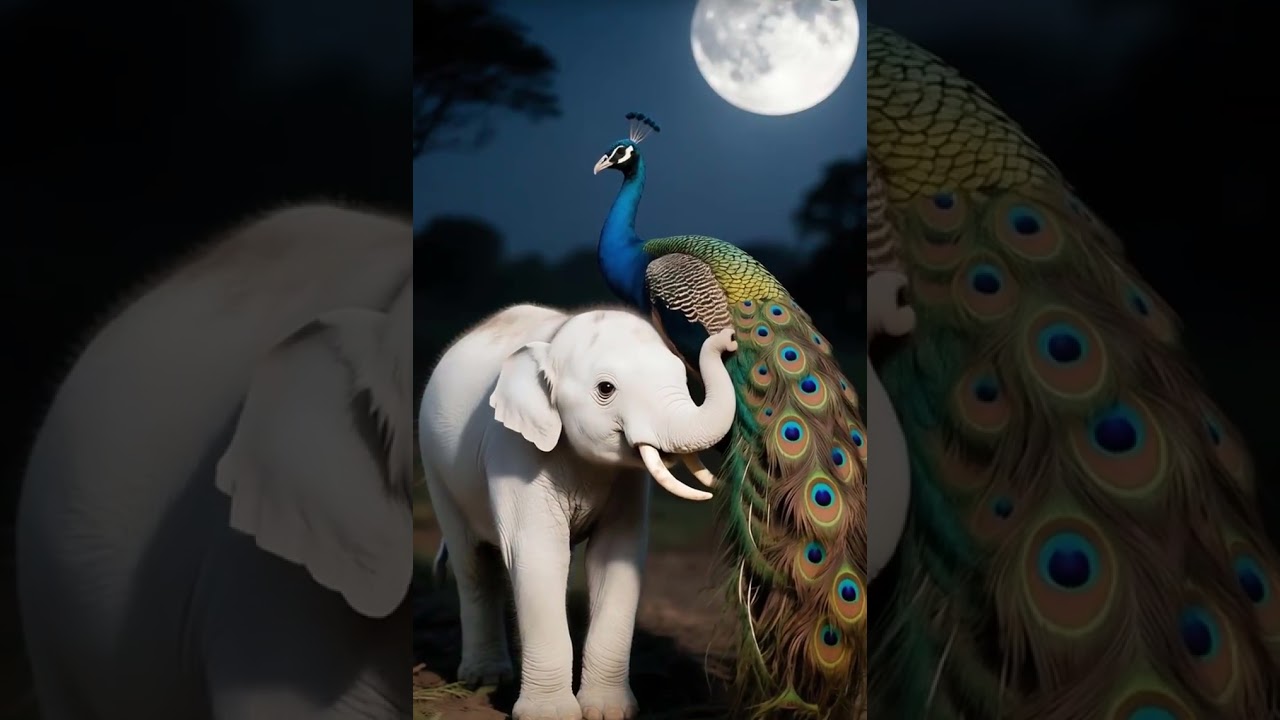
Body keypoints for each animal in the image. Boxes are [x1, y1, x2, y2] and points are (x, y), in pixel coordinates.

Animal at [417, 303, 739, 720]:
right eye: (606, 389)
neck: (555, 339)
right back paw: (485, 680)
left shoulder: (627, 480)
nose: (729, 338)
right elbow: (537, 553)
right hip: (437, 472)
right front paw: (549, 715)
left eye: (680, 376)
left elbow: (615, 556)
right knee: (473, 564)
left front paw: (608, 712)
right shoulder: (513, 447)